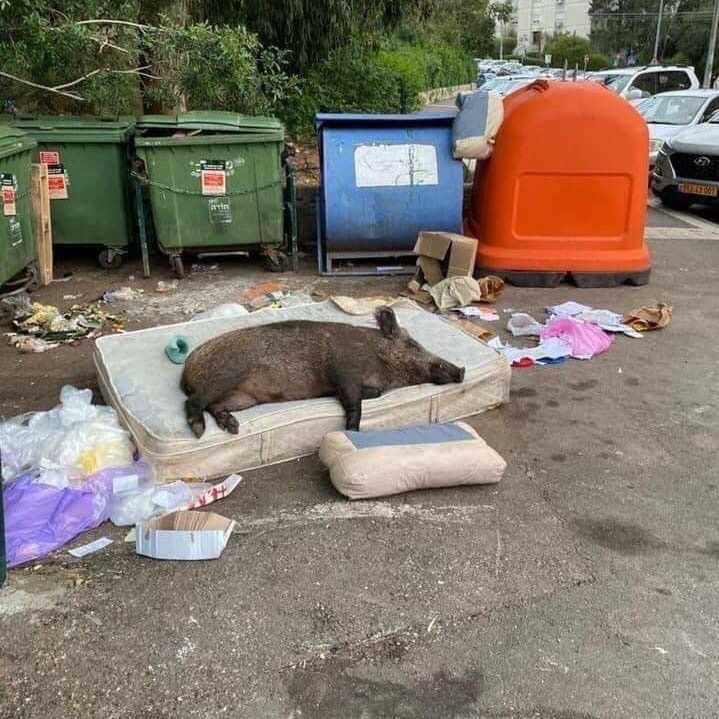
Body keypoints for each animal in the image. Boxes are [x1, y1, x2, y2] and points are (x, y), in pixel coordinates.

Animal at [180, 306, 465, 438]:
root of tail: (187, 368)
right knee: (193, 401)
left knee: (213, 405)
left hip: (243, 398)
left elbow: (369, 395)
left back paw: (233, 427)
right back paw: (199, 431)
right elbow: (354, 404)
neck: (379, 362)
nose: (460, 369)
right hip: (228, 372)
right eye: (413, 344)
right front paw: (352, 433)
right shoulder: (344, 371)